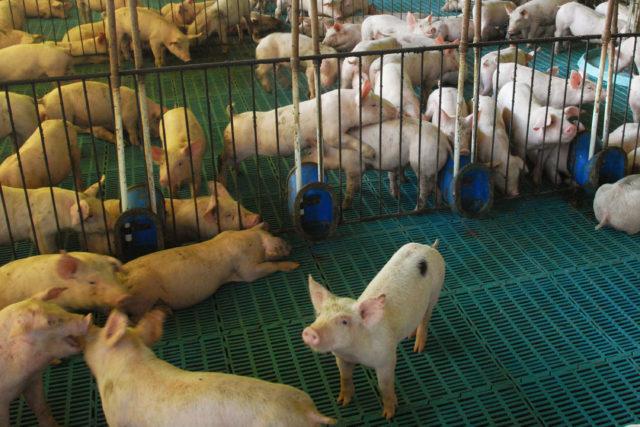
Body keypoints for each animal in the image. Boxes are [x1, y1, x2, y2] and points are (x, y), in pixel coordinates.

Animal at [120, 223, 298, 317]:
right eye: (280, 244)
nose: (291, 246)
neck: (253, 240)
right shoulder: (246, 265)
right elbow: (257, 272)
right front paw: (295, 265)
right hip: (143, 292)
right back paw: (165, 311)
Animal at [220, 83, 397, 179]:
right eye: (374, 105)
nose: (396, 110)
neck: (345, 108)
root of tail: (234, 117)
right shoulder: (331, 129)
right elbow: (341, 140)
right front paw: (372, 153)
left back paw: (238, 173)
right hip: (233, 147)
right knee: (221, 160)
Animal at [302, 241, 445, 419]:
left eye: (344, 321)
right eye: (320, 314)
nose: (309, 331)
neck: (354, 352)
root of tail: (429, 247)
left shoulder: (387, 358)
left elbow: (384, 386)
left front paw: (388, 415)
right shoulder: (341, 357)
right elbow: (345, 377)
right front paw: (342, 402)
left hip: (436, 291)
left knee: (426, 318)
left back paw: (417, 349)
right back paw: (409, 337)